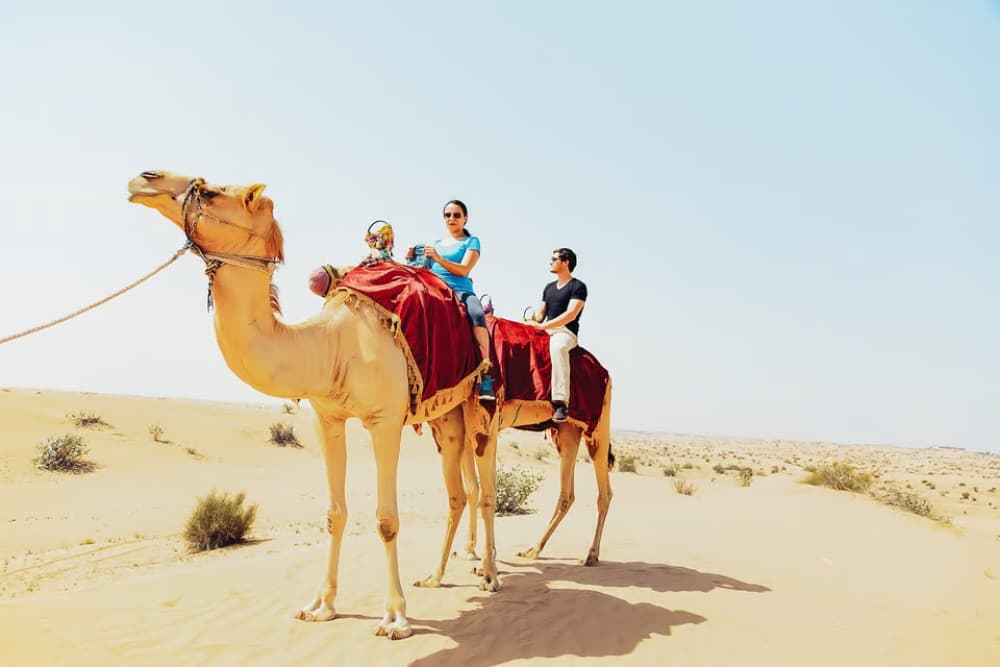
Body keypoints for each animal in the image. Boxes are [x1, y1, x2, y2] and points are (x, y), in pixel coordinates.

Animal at [126, 170, 501, 640]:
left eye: (209, 191)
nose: (144, 179)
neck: (332, 345)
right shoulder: (329, 418)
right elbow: (334, 514)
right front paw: (321, 605)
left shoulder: (384, 420)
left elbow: (386, 520)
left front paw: (395, 618)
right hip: (446, 416)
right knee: (459, 493)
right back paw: (435, 576)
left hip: (482, 412)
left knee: (486, 491)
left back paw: (490, 576)